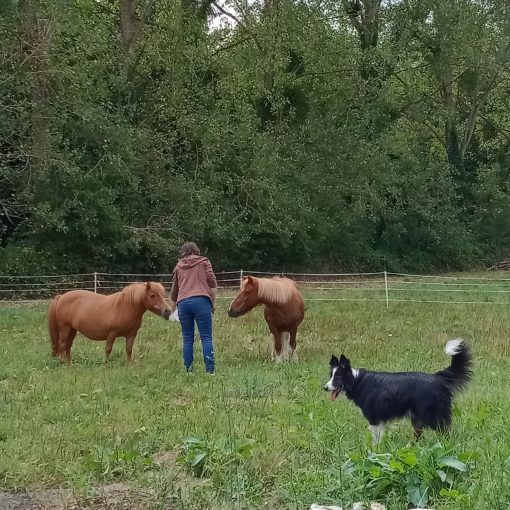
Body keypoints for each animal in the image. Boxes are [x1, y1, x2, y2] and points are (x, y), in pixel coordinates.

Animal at [324, 338, 472, 442]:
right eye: (331, 376)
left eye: (338, 377)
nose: (325, 388)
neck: (357, 382)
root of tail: (437, 377)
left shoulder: (374, 419)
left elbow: (375, 440)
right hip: (417, 418)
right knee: (419, 437)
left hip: (433, 416)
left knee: (446, 432)